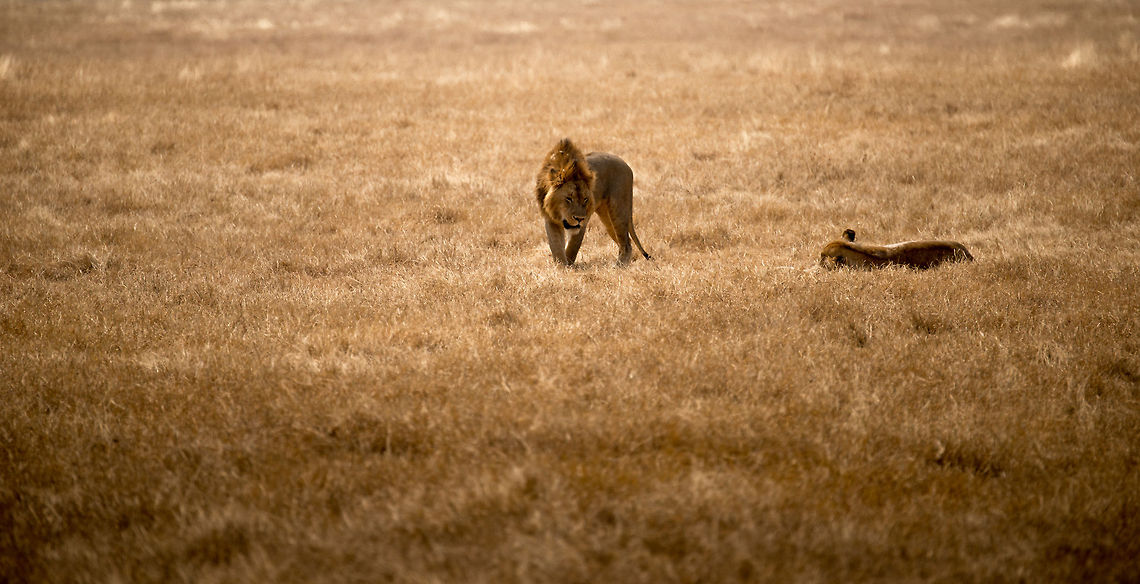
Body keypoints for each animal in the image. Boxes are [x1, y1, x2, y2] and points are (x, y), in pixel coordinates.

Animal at [534, 138, 651, 266]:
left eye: (585, 199)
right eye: (569, 198)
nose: (579, 219)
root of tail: (626, 165)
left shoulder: (584, 220)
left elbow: (573, 246)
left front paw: (569, 265)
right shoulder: (550, 219)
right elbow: (556, 246)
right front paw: (561, 266)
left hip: (618, 210)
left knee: (626, 243)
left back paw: (619, 265)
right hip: (607, 218)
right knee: (624, 240)